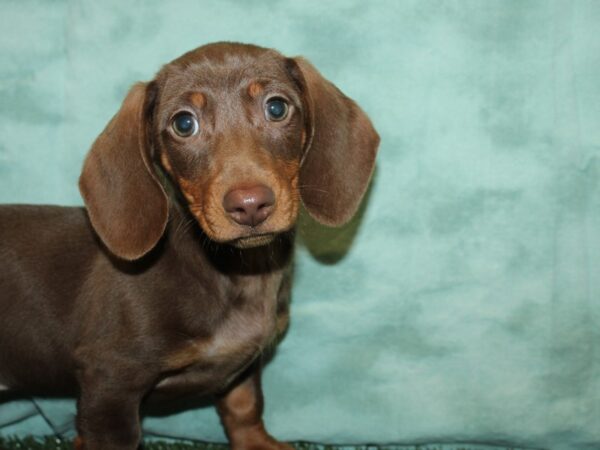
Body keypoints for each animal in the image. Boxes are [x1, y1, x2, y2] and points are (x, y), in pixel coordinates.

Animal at [0, 43, 378, 450]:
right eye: (184, 124)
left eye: (277, 108)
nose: (250, 205)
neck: (237, 272)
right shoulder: (109, 380)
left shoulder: (244, 367)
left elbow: (245, 406)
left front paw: (256, 443)